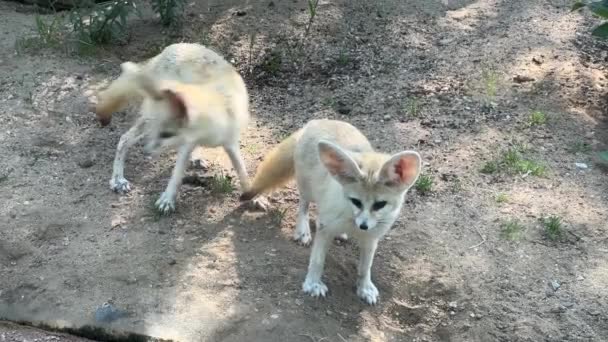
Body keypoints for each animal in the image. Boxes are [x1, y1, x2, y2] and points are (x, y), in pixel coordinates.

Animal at [95, 43, 262, 214]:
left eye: (166, 134)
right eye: (159, 133)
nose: (146, 152)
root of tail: (171, 48)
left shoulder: (229, 143)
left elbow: (243, 172)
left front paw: (254, 197)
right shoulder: (186, 143)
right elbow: (176, 175)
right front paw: (167, 200)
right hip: (146, 122)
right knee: (124, 139)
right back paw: (118, 179)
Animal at [240, 119, 420, 304]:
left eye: (380, 205)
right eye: (356, 201)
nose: (363, 226)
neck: (350, 219)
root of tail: (316, 121)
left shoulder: (371, 238)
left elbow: (365, 267)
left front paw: (365, 288)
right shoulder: (325, 228)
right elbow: (317, 260)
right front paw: (312, 284)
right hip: (307, 188)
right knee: (303, 206)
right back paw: (303, 230)